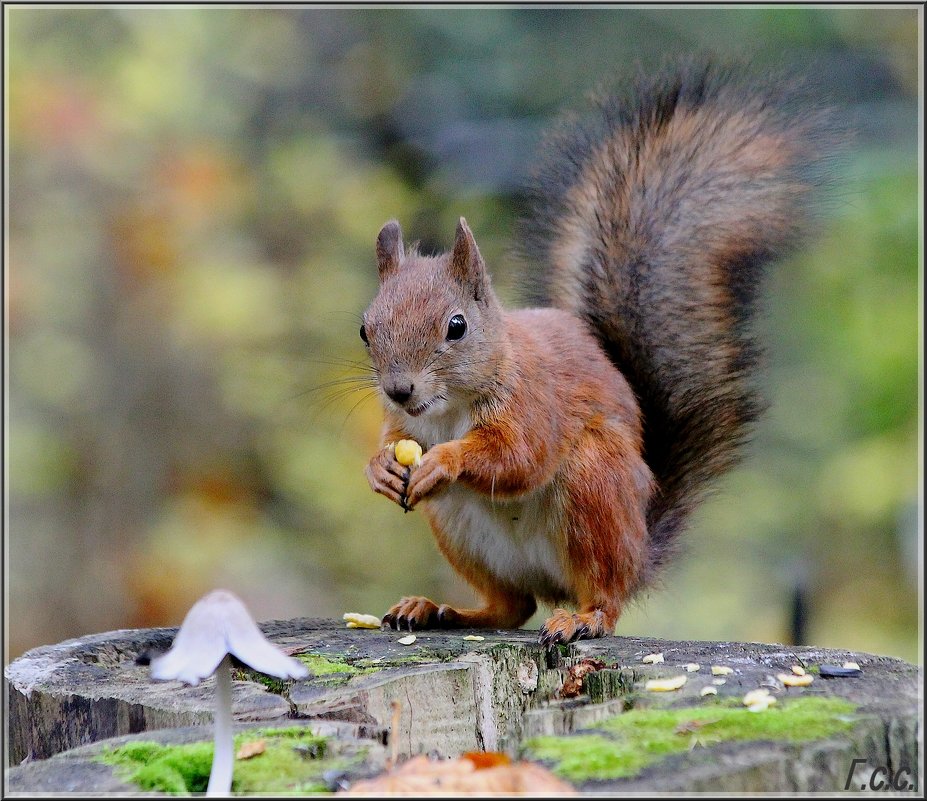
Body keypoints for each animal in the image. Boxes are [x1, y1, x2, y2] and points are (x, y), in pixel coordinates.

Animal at [360, 57, 832, 644]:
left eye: (457, 326)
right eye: (365, 330)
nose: (400, 389)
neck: (450, 408)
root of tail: (639, 550)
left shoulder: (534, 405)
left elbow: (518, 458)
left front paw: (446, 460)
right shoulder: (404, 423)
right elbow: (394, 440)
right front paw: (380, 467)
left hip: (594, 488)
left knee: (603, 597)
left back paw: (582, 618)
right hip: (460, 531)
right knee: (509, 606)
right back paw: (437, 609)